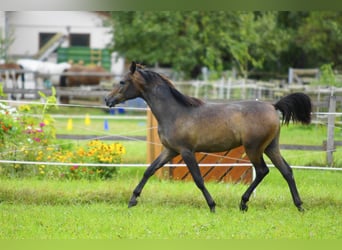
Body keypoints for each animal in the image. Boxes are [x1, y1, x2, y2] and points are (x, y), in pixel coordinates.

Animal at [104, 61, 312, 212]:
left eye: (122, 82)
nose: (107, 99)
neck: (175, 112)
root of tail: (272, 106)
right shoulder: (169, 150)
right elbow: (149, 170)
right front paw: (132, 200)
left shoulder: (186, 151)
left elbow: (198, 179)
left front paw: (212, 206)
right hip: (270, 147)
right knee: (287, 171)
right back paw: (299, 206)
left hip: (254, 148)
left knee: (262, 171)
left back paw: (244, 203)